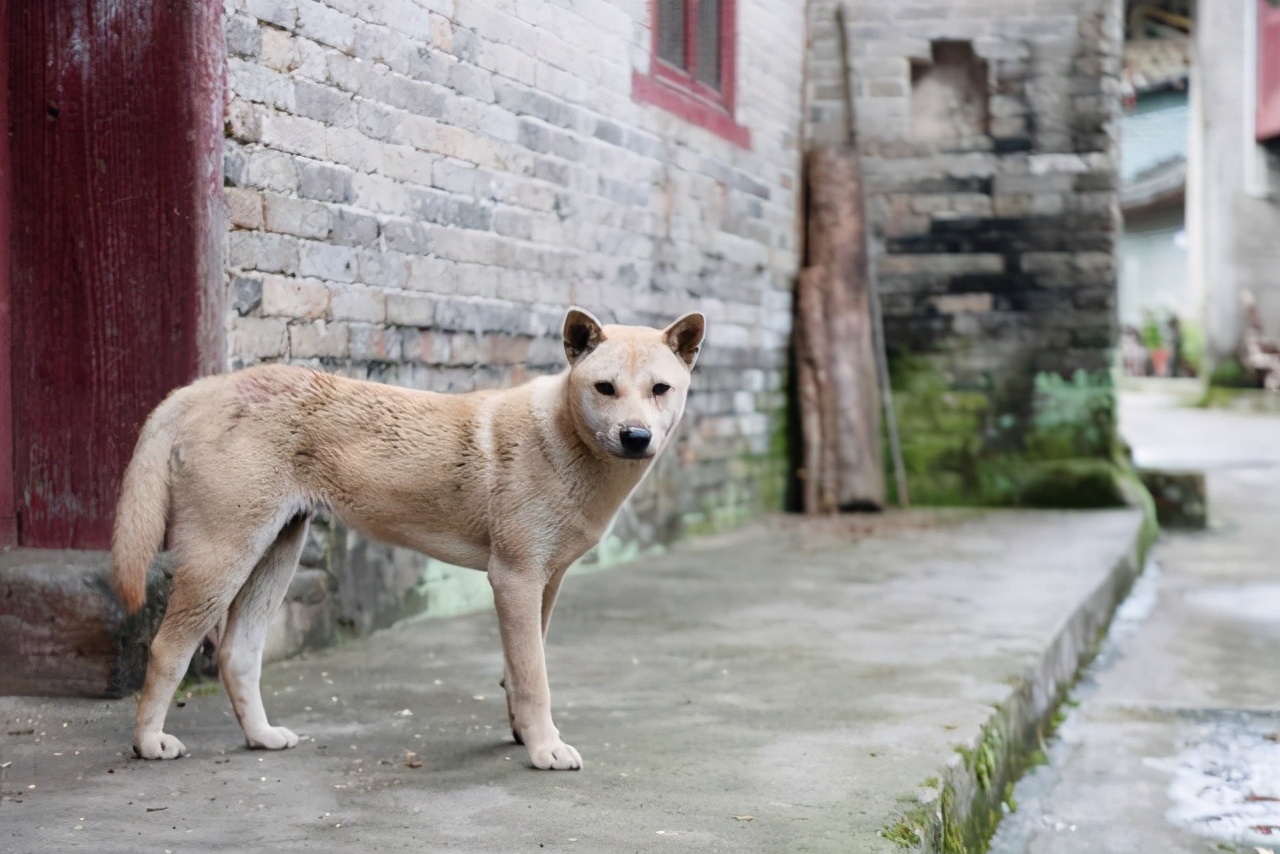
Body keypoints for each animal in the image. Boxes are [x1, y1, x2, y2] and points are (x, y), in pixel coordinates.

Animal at [111, 311, 706, 773]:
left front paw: (523, 733)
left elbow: (519, 669)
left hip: (276, 550)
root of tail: (202, 388)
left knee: (238, 652)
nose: (636, 436)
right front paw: (545, 750)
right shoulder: (514, 578)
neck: (562, 438)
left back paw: (261, 737)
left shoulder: (546, 583)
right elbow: (534, 677)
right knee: (167, 649)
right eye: (605, 388)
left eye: (660, 389)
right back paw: (148, 743)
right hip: (222, 555)